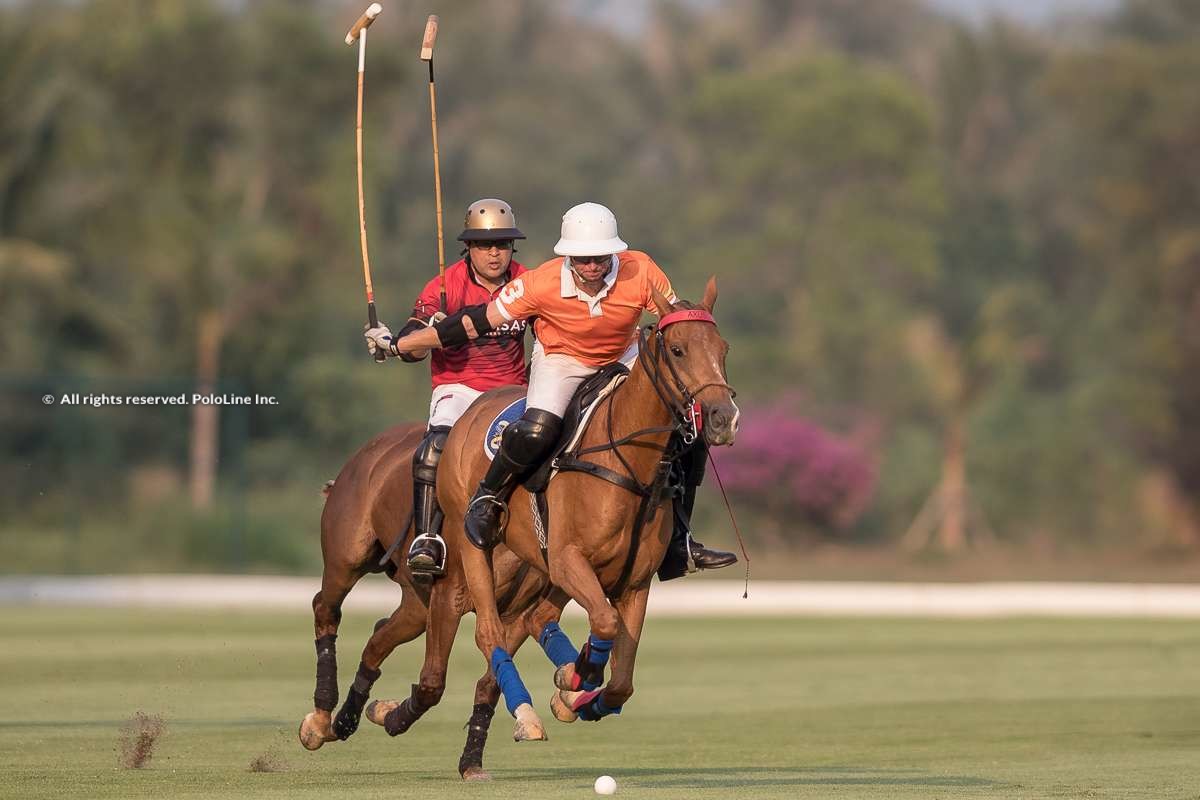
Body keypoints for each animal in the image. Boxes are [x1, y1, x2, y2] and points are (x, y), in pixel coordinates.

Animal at [297, 422, 549, 777]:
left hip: (415, 606)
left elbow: (490, 683)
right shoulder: (448, 597)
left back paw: (346, 719)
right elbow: (432, 682)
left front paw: (471, 761)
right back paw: (320, 719)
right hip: (346, 559)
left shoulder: (516, 615)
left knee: (377, 638)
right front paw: (393, 717)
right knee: (325, 608)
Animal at [369, 278, 734, 753]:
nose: (723, 418)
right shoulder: (567, 559)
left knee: (535, 619)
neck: (628, 464)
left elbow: (623, 680)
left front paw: (580, 693)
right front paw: (577, 678)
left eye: (722, 348)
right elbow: (604, 623)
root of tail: (474, 408)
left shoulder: (634, 581)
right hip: (475, 553)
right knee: (487, 631)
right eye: (677, 350)